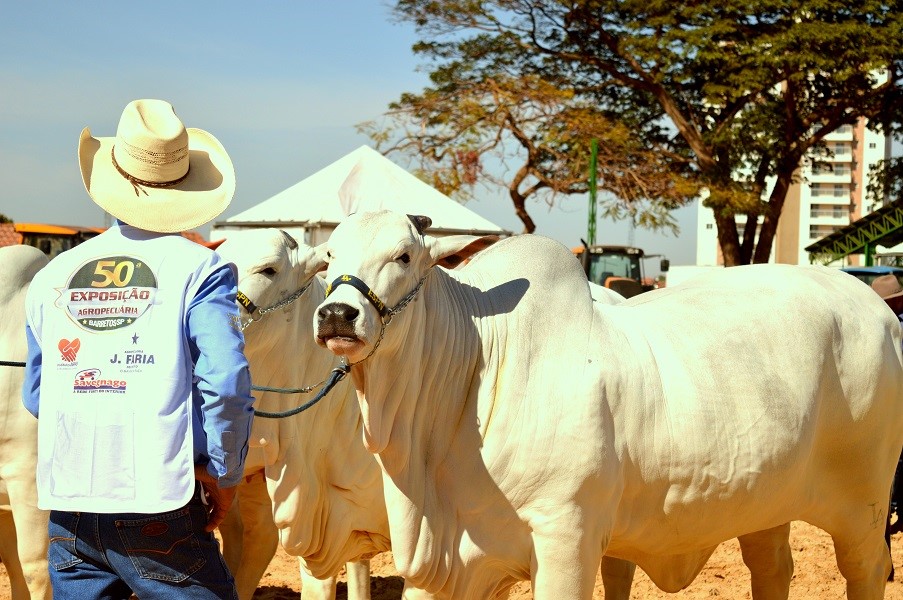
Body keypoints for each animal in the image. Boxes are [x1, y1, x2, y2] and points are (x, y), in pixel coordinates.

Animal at [316, 210, 903, 600]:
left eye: (403, 255)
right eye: (328, 259)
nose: (336, 314)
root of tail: (878, 307)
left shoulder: (565, 538)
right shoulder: (445, 564)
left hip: (865, 505)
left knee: (867, 570)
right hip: (765, 499)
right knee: (773, 567)